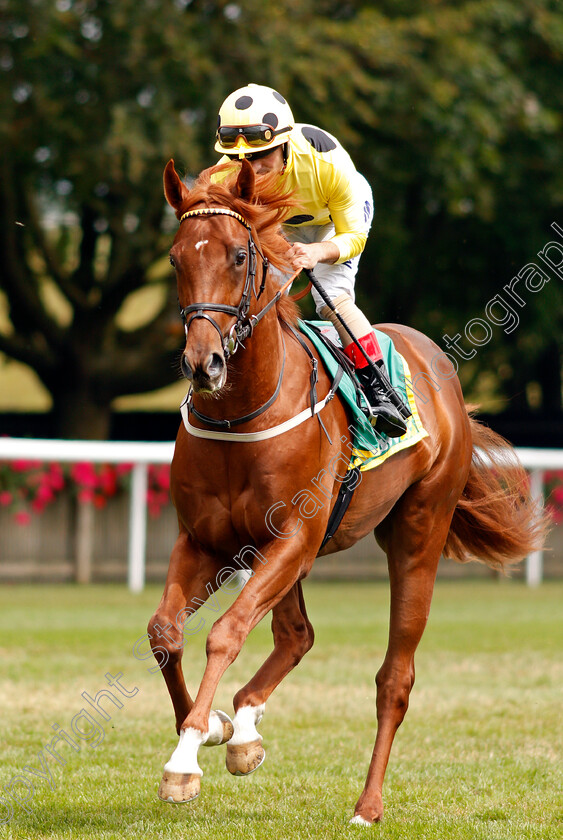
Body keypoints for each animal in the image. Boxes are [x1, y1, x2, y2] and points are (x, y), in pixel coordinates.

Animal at [148, 156, 544, 820]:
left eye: (238, 255)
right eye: (176, 259)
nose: (204, 364)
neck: (243, 413)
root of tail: (442, 373)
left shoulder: (295, 538)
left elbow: (225, 632)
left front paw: (186, 758)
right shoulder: (206, 541)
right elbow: (165, 634)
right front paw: (207, 729)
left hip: (417, 533)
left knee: (394, 679)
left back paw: (368, 803)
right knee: (296, 635)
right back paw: (245, 730)